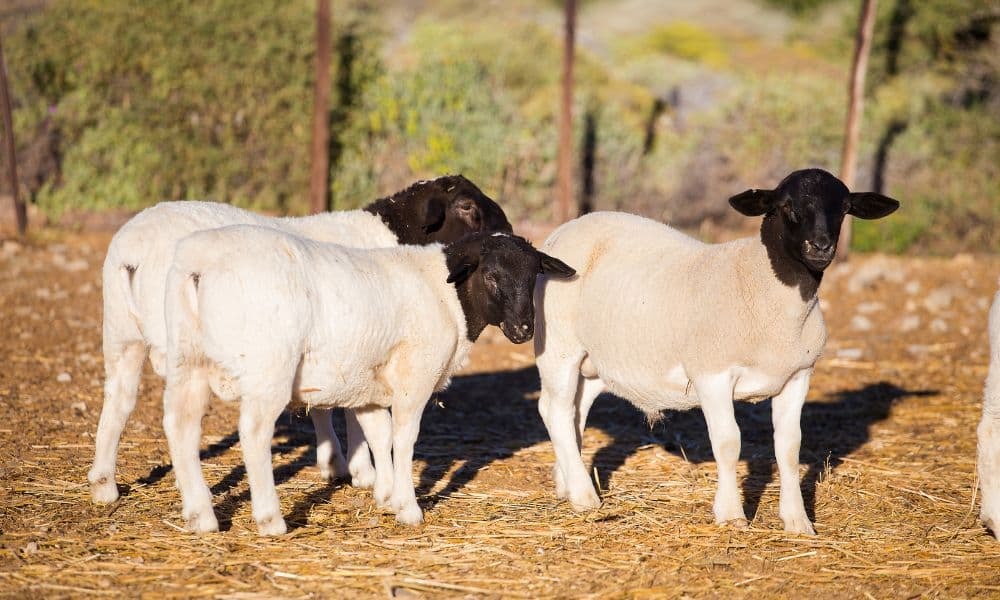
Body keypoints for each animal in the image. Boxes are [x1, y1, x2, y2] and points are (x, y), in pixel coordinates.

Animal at [89, 175, 512, 504]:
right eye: (467, 207)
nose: (508, 233)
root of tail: (133, 253)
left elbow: (324, 403)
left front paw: (336, 462)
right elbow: (351, 410)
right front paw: (363, 471)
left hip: (121, 335)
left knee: (119, 400)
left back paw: (104, 485)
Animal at [161, 227, 575, 534]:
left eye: (533, 277)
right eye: (491, 276)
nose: (523, 330)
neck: (446, 295)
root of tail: (199, 266)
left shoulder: (370, 385)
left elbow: (379, 435)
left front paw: (387, 496)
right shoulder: (414, 377)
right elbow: (404, 439)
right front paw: (408, 507)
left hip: (186, 360)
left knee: (181, 428)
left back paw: (201, 516)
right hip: (269, 367)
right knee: (253, 434)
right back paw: (270, 519)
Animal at [533, 168, 898, 535]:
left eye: (844, 209)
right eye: (786, 207)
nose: (820, 246)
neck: (763, 286)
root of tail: (567, 227)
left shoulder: (798, 375)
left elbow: (790, 446)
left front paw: (798, 521)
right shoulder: (712, 373)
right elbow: (727, 442)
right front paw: (732, 514)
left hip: (595, 361)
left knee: (575, 411)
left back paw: (567, 484)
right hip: (558, 347)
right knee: (556, 411)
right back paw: (584, 497)